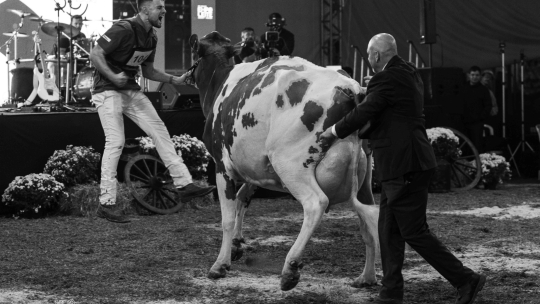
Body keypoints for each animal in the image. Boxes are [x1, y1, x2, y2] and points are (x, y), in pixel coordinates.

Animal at [189, 32, 380, 290]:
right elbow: (242, 197)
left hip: (290, 163)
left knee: (316, 203)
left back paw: (290, 268)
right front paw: (237, 244)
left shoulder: (222, 166)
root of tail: (350, 88)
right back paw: (367, 277)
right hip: (363, 176)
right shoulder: (256, 169)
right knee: (370, 219)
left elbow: (227, 217)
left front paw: (220, 264)